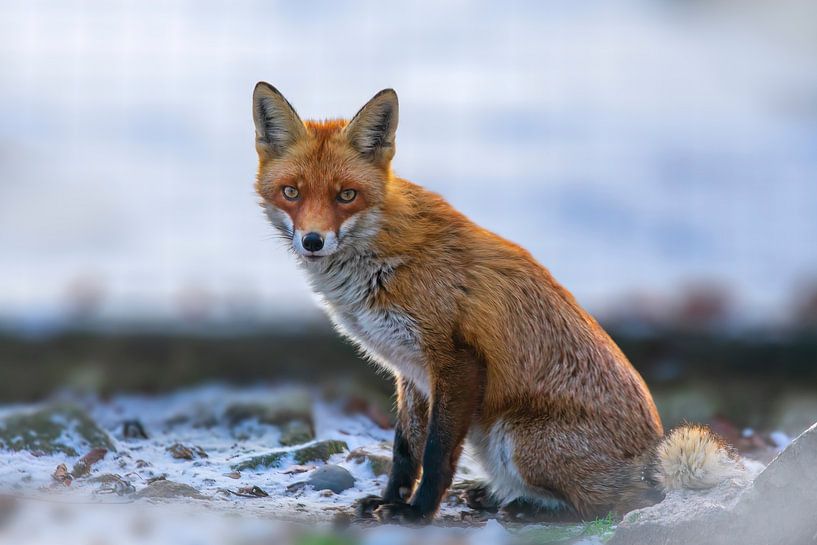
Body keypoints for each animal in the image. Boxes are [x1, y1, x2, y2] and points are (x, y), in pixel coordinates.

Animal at [252, 83, 744, 520]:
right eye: (292, 193)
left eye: (346, 195)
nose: (313, 241)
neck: (380, 260)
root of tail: (649, 463)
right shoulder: (410, 372)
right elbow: (405, 449)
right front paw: (389, 501)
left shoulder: (457, 362)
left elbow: (436, 454)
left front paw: (417, 514)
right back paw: (497, 496)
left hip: (514, 437)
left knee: (615, 506)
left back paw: (530, 507)